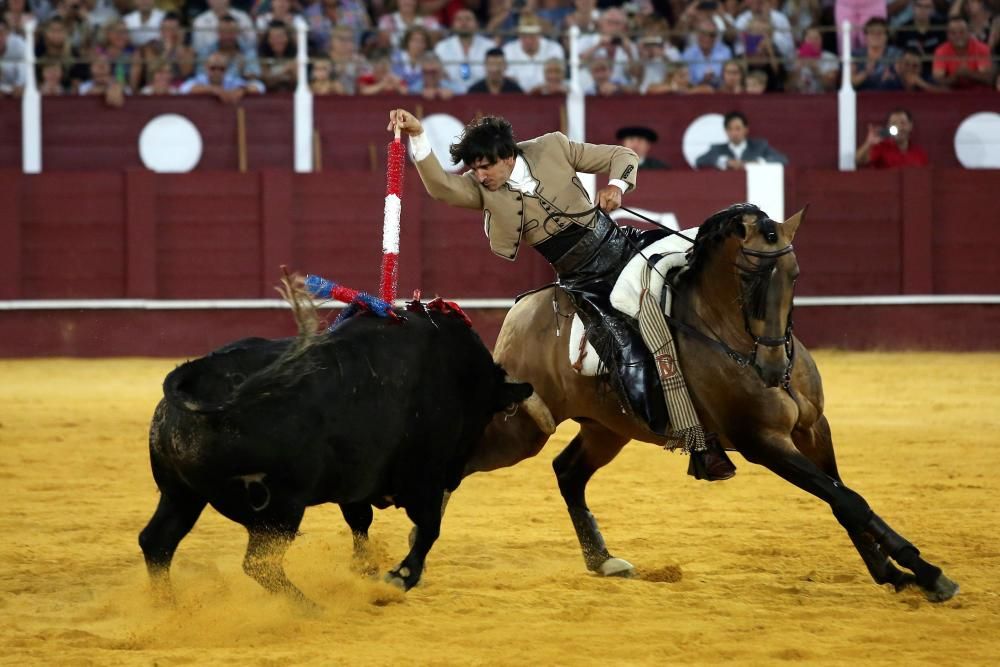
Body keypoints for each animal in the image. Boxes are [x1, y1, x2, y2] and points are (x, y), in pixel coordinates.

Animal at [138, 310, 552, 604]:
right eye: (486, 415)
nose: (459, 471)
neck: (460, 375)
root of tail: (198, 374)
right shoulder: (424, 479)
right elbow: (428, 527)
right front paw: (398, 578)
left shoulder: (355, 481)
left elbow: (360, 520)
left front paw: (364, 569)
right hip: (279, 509)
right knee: (259, 564)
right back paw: (307, 606)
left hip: (181, 494)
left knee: (157, 541)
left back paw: (167, 607)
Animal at [464, 202, 956, 600]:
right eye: (747, 279)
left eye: (795, 275)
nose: (772, 368)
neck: (731, 336)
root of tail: (521, 311)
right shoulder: (762, 442)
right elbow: (848, 500)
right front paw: (928, 573)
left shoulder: (815, 427)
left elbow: (842, 497)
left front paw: (894, 574)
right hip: (522, 430)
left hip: (607, 429)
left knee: (567, 472)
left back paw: (603, 560)